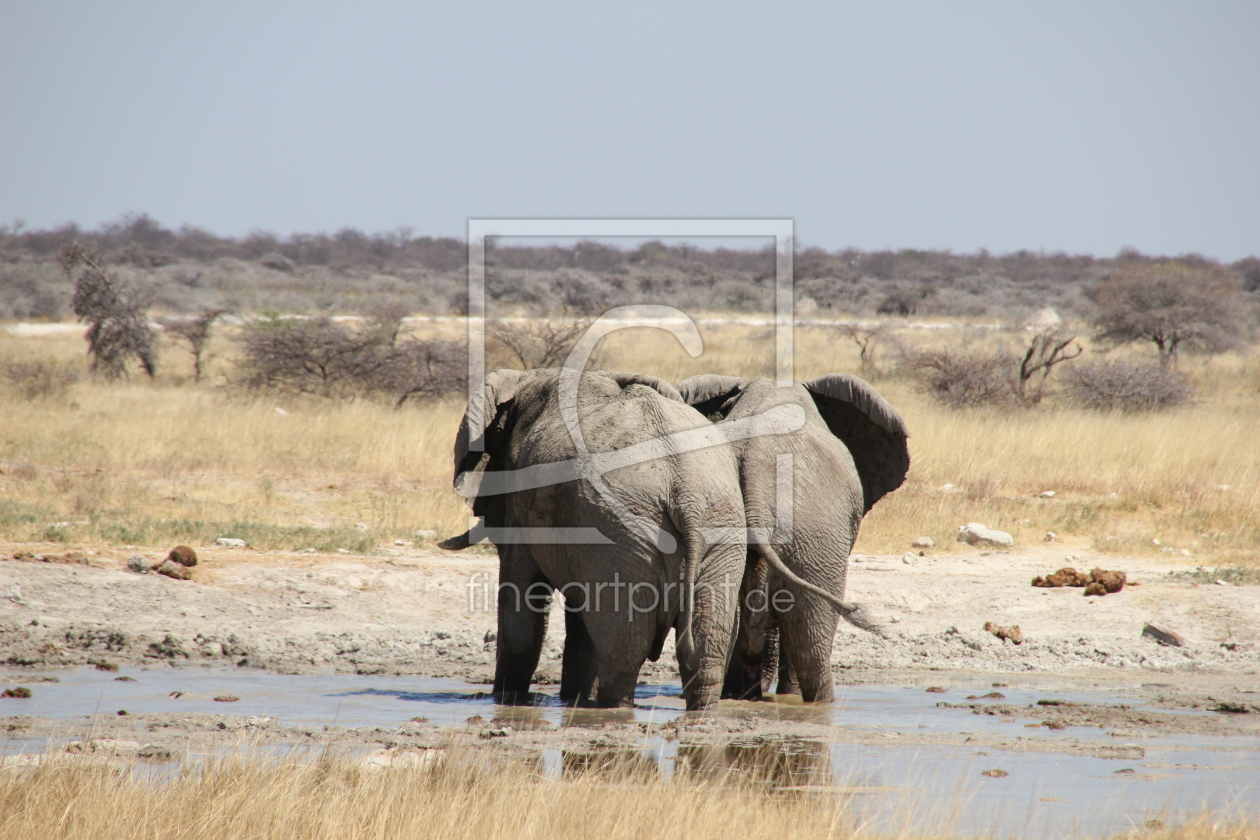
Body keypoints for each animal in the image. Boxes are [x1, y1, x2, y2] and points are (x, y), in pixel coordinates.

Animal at [441, 365, 745, 710]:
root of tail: (685, 490)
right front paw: (569, 699)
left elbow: (521, 600)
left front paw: (507, 698)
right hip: (717, 525)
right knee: (706, 645)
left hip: (623, 533)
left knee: (625, 648)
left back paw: (611, 707)